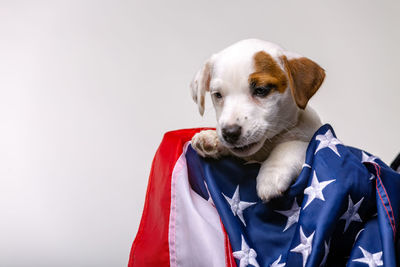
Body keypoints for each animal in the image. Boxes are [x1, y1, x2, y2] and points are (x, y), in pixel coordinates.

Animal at [191, 38, 324, 202]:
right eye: (218, 95)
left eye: (261, 90)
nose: (229, 133)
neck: (266, 146)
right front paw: (211, 138)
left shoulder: (313, 140)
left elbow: (289, 146)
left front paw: (272, 174)